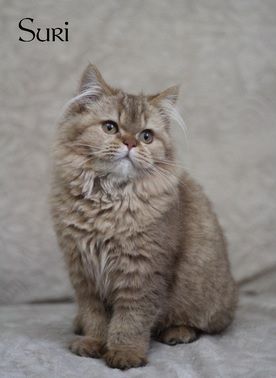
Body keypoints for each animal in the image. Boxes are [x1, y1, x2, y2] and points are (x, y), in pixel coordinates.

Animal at [50, 64, 238, 370]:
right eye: (110, 127)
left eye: (147, 136)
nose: (130, 142)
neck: (108, 201)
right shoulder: (83, 272)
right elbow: (94, 317)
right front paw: (93, 343)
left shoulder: (141, 272)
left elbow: (130, 321)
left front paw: (124, 354)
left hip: (204, 300)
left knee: (202, 325)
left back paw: (178, 332)